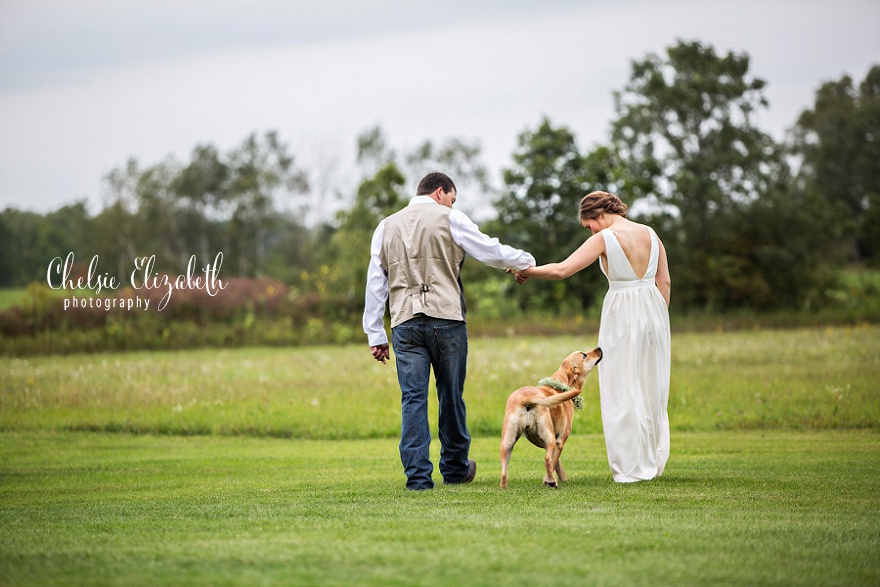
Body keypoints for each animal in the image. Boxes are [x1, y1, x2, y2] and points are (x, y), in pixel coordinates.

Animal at [498, 350, 600, 492]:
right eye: (584, 355)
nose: (599, 349)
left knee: (503, 471)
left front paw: (561, 478)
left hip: (507, 442)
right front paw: (549, 480)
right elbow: (553, 462)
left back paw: (504, 486)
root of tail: (528, 398)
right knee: (546, 460)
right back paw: (552, 482)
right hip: (549, 436)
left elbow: (556, 463)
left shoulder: (547, 443)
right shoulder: (560, 441)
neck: (561, 385)